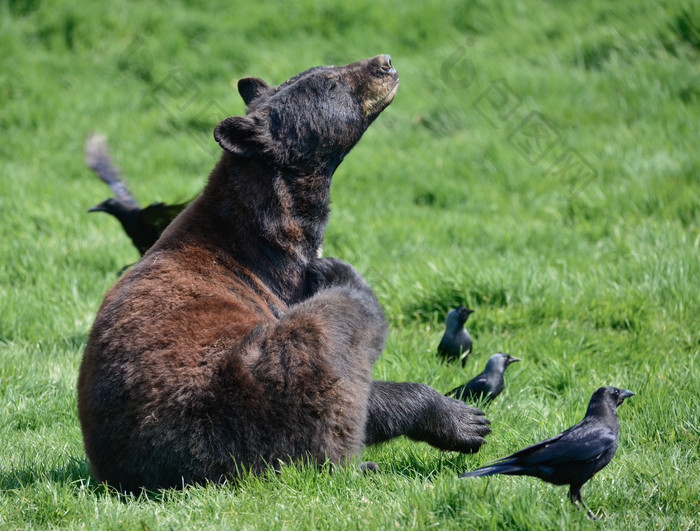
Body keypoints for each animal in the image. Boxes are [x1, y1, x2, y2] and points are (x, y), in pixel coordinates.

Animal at [76, 56, 490, 492]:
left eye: (326, 67)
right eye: (330, 82)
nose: (385, 62)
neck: (275, 228)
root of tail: (138, 479)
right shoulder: (281, 283)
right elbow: (356, 388)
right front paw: (464, 418)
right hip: (244, 402)